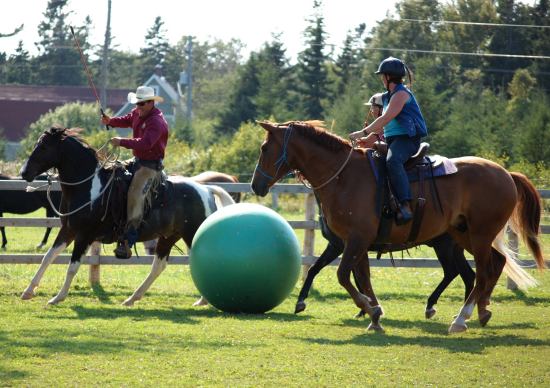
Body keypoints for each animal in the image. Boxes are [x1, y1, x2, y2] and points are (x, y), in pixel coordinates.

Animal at [18, 128, 235, 306]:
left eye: (44, 147)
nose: (24, 173)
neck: (89, 188)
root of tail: (205, 189)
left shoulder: (84, 235)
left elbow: (73, 266)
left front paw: (57, 297)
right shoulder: (68, 230)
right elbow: (48, 257)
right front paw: (28, 291)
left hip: (190, 235)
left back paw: (202, 300)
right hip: (169, 236)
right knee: (159, 265)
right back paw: (132, 298)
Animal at [298, 192, 474, 320]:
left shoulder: (346, 247)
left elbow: (356, 277)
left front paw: (367, 307)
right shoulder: (340, 247)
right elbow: (315, 269)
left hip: (444, 247)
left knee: (452, 272)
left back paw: (433, 307)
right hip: (455, 249)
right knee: (468, 275)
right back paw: (461, 314)